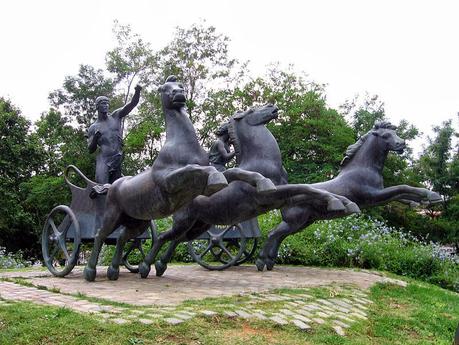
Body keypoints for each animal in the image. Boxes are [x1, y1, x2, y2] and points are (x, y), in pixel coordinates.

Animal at [140, 104, 360, 276]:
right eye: (252, 110)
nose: (272, 106)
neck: (263, 160)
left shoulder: (284, 197)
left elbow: (305, 190)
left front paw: (345, 203)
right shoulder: (272, 194)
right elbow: (304, 187)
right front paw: (340, 203)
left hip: (198, 225)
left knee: (176, 239)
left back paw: (160, 265)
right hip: (185, 222)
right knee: (163, 236)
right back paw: (145, 267)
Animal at [256, 121, 444, 268]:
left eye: (395, 133)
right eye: (385, 135)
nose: (402, 144)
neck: (364, 168)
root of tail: (284, 196)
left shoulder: (378, 197)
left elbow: (400, 196)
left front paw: (421, 203)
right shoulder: (374, 196)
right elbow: (401, 188)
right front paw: (432, 195)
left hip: (303, 222)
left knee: (278, 236)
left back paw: (269, 262)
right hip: (295, 221)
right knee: (273, 234)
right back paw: (261, 262)